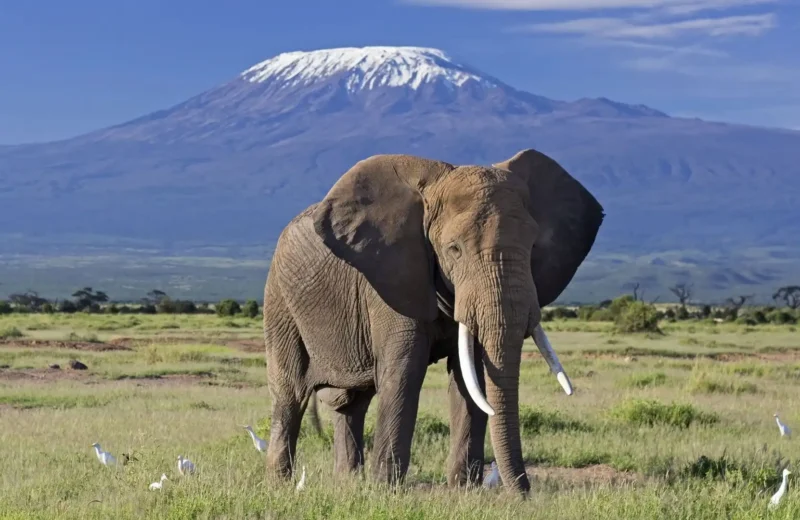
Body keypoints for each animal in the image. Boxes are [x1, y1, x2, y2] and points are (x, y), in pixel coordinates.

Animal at [262, 148, 604, 495]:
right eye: (454, 249)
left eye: (533, 247)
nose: (524, 495)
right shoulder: (392, 279)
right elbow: (405, 371)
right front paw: (386, 491)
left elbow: (470, 375)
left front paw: (464, 491)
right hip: (279, 299)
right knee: (290, 392)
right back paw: (280, 484)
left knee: (352, 402)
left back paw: (348, 483)